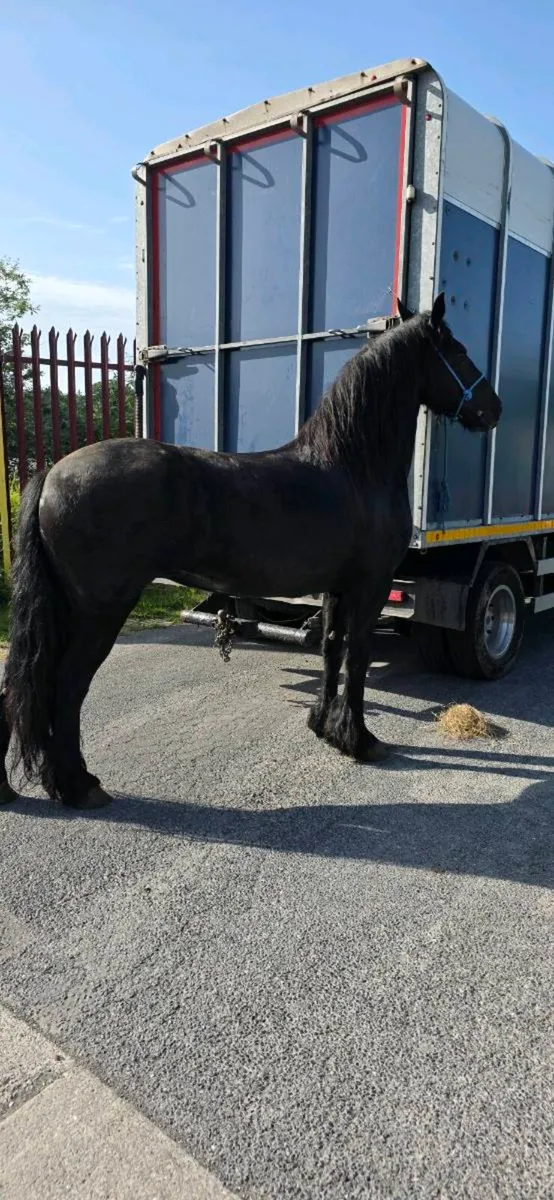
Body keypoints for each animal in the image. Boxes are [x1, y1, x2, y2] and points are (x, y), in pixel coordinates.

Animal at [0, 294, 501, 810]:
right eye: (459, 351)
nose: (494, 407)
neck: (354, 466)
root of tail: (54, 473)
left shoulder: (337, 588)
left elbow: (330, 649)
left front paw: (324, 727)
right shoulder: (371, 586)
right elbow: (358, 657)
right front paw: (361, 741)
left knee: (22, 685)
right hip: (99, 611)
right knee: (65, 685)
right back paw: (79, 785)